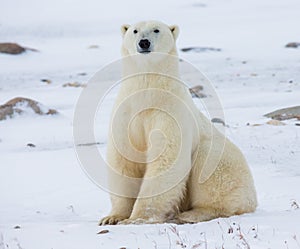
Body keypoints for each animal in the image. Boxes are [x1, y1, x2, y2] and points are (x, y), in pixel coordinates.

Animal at [99, 20, 258, 225]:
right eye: (135, 30)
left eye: (156, 30)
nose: (144, 42)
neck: (149, 96)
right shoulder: (126, 115)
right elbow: (124, 160)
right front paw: (112, 217)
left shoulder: (169, 114)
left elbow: (165, 159)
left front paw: (137, 218)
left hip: (224, 160)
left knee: (211, 166)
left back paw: (191, 214)